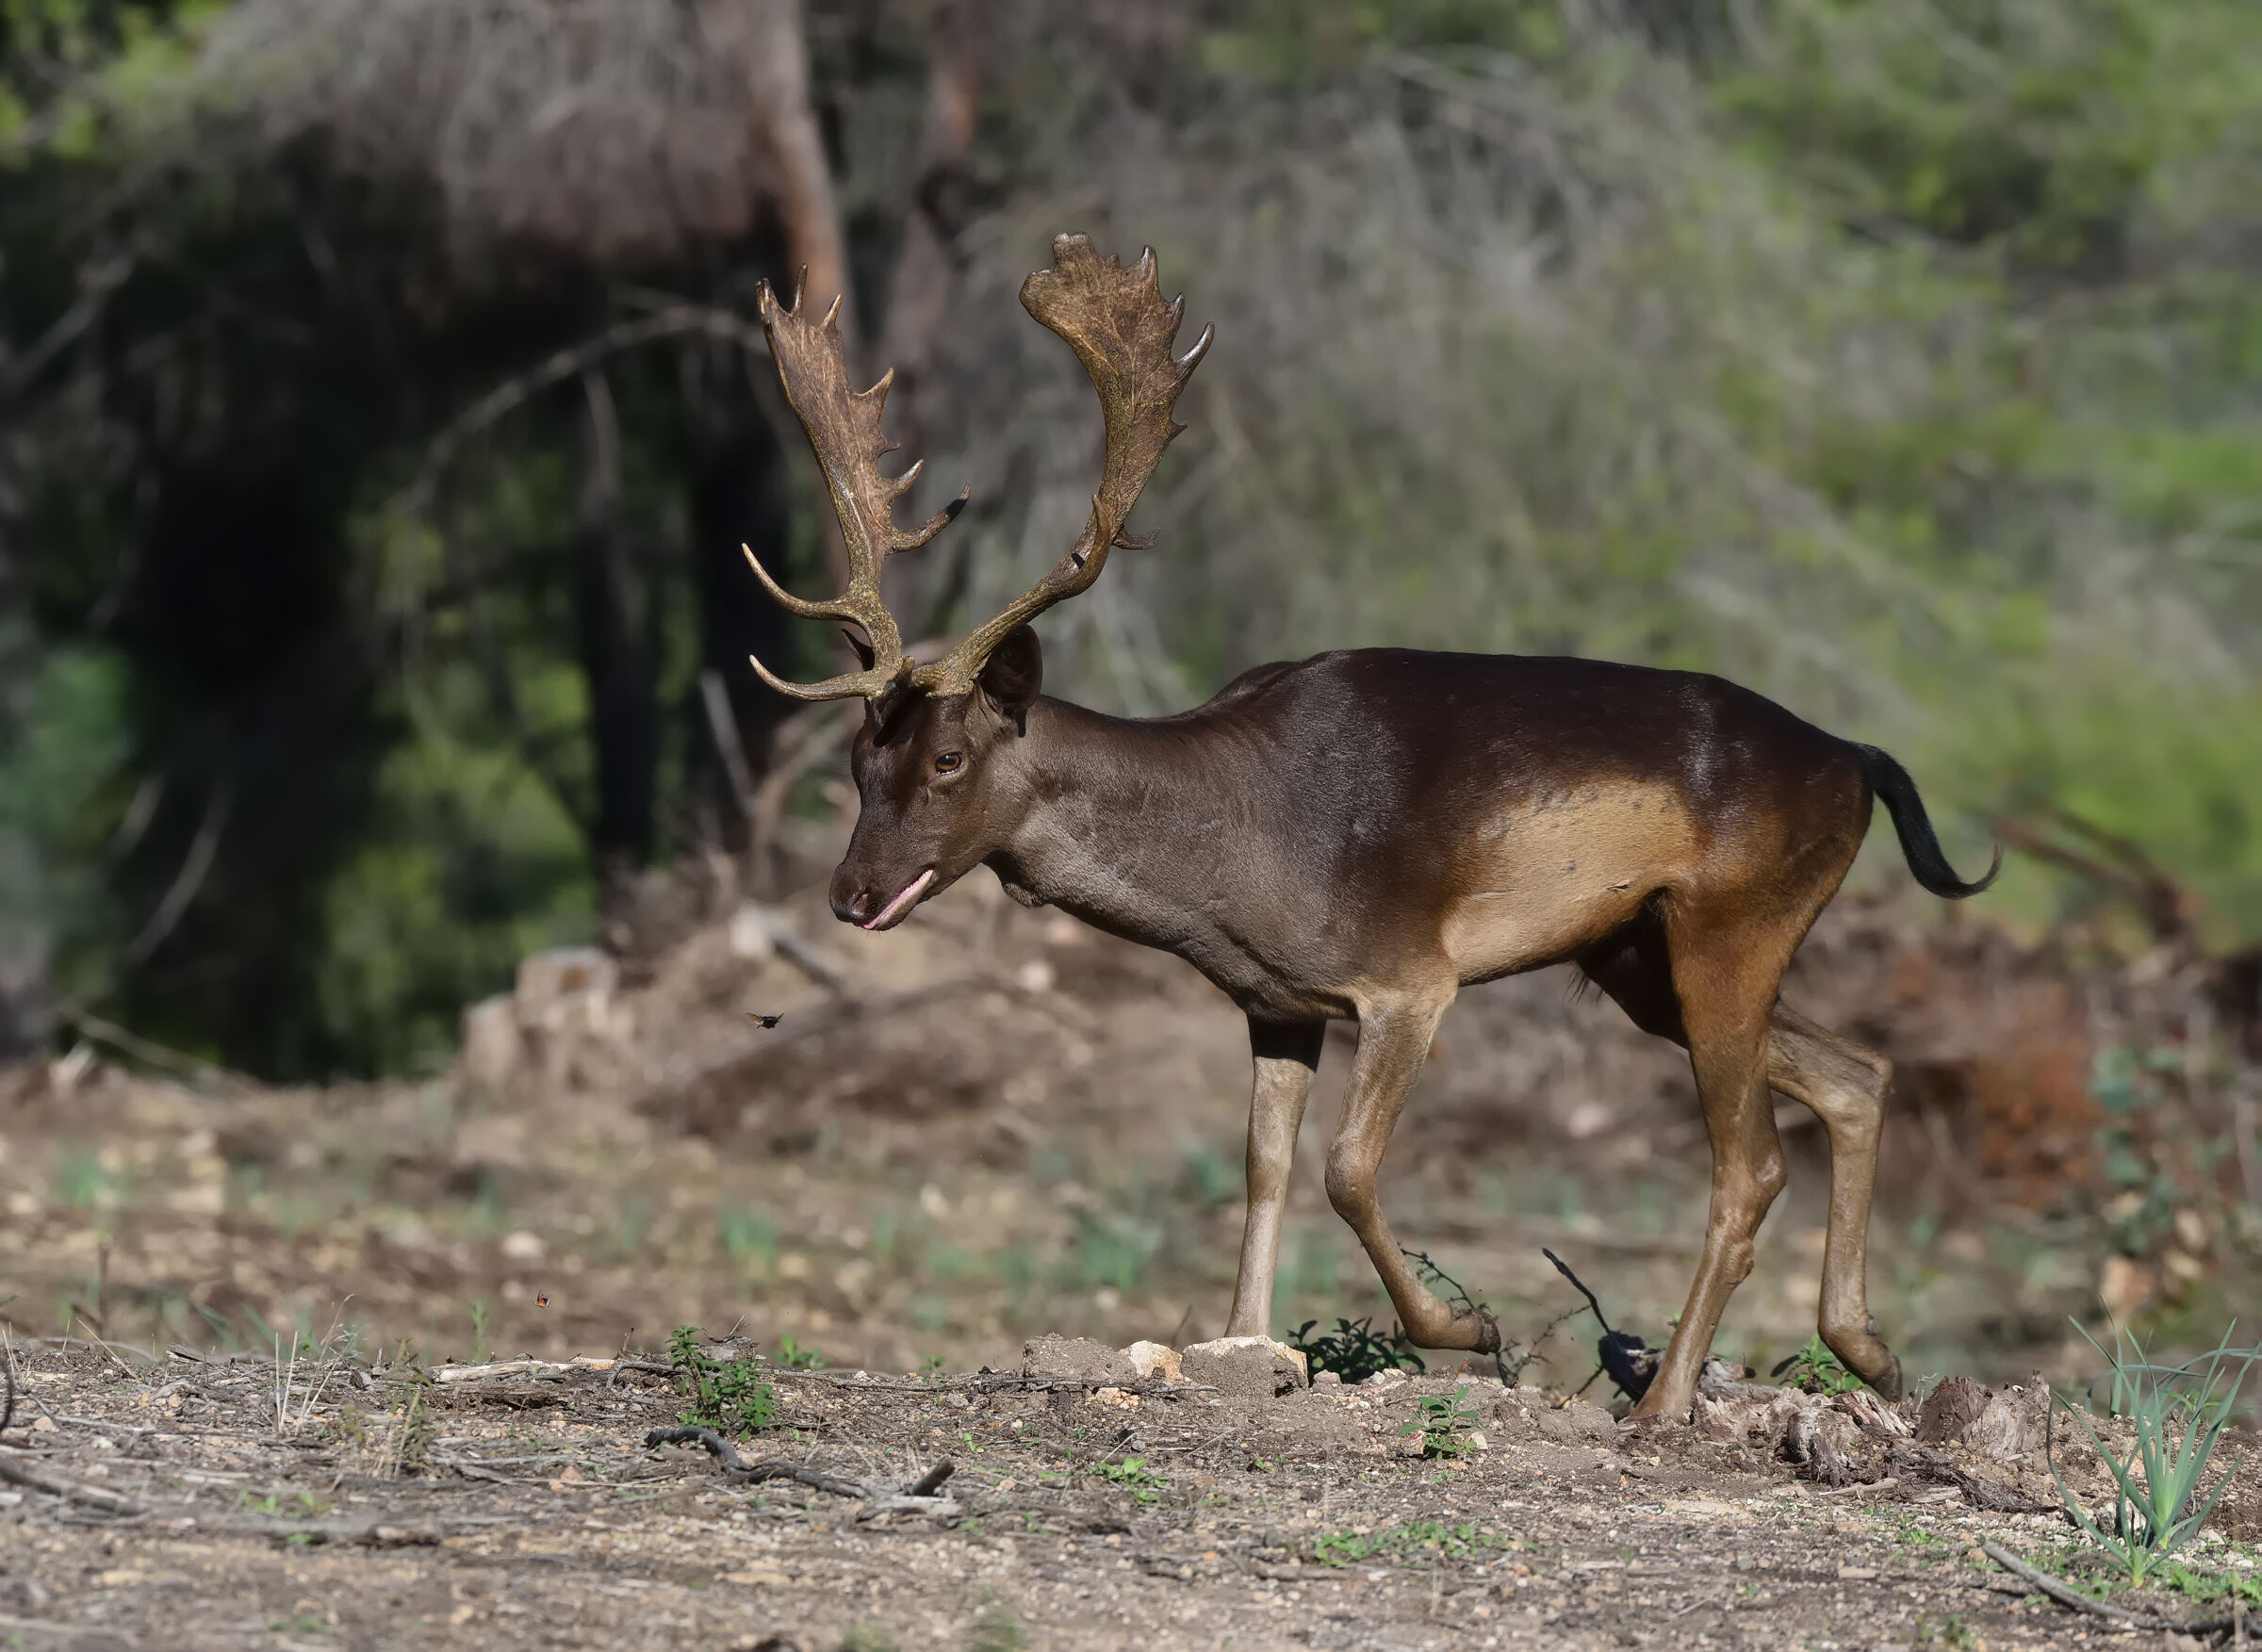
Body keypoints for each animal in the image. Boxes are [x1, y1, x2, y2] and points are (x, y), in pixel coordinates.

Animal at [738, 234, 1997, 1423]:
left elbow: (1346, 1167)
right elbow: (1263, 1167)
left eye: (949, 758)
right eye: (859, 761)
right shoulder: (1275, 1002)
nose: (849, 893)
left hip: (1733, 922)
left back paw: (1668, 1402)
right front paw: (1243, 1344)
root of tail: (1860, 762)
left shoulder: (1408, 976)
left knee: (1751, 1165)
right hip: (1640, 954)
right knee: (1858, 1073)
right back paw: (1872, 1352)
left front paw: (1467, 1331)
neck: (1238, 861)